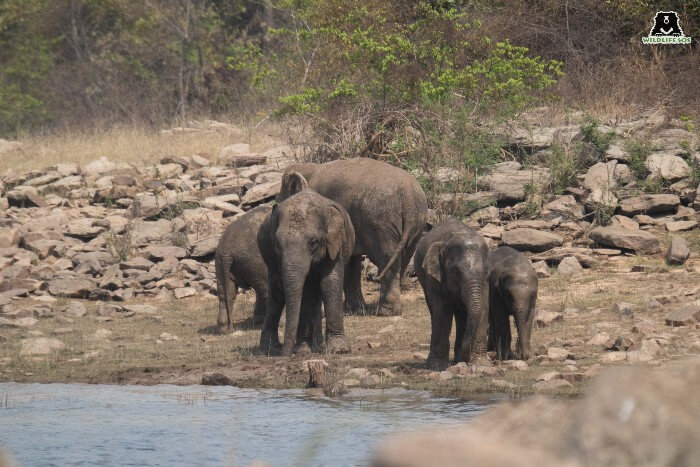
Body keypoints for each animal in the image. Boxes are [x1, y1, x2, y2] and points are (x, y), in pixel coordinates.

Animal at [258, 174, 356, 356]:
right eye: (277, 244)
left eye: (313, 242)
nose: (285, 355)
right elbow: (301, 290)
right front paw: (303, 349)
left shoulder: (335, 244)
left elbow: (329, 282)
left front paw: (339, 349)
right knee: (277, 293)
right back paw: (273, 348)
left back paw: (316, 346)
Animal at [278, 158, 426, 318]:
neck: (309, 168)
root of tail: (407, 200)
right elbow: (352, 261)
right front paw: (354, 308)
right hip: (416, 225)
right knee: (402, 260)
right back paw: (392, 310)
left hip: (380, 224)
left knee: (386, 258)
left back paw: (385, 312)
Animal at [412, 218, 490, 372]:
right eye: (455, 271)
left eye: (486, 271)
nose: (468, 359)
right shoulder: (434, 277)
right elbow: (442, 311)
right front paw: (438, 367)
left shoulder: (485, 283)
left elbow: (484, 307)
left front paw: (482, 364)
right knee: (434, 312)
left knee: (461, 314)